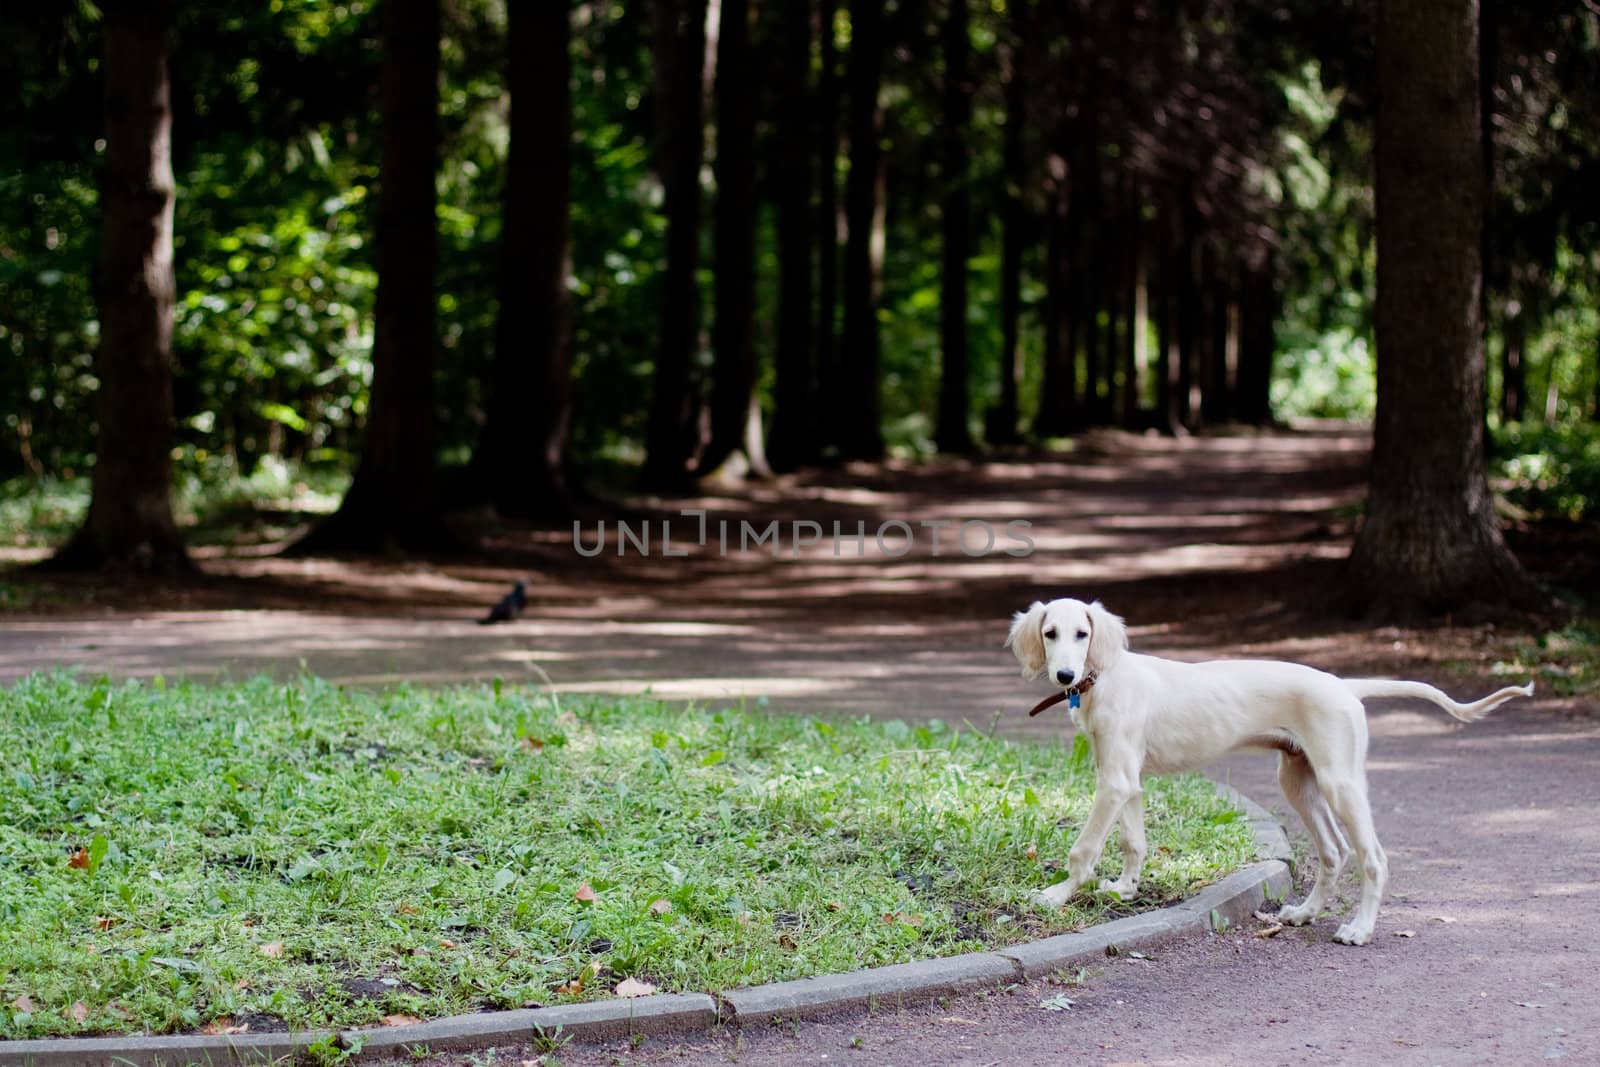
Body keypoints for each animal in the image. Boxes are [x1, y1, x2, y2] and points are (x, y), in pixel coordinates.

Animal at [1004, 598, 1529, 947]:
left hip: (1340, 783)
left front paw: (1057, 894)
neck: (1106, 676)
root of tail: (1345, 685)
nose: (1065, 677)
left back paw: (1360, 929)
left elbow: (1083, 848)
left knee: (1373, 857)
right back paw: (1303, 914)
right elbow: (1134, 842)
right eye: (1050, 634)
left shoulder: (1114, 781)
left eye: (1082, 634)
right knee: (1334, 853)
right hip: (1298, 781)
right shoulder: (1125, 778)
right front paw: (1126, 889)